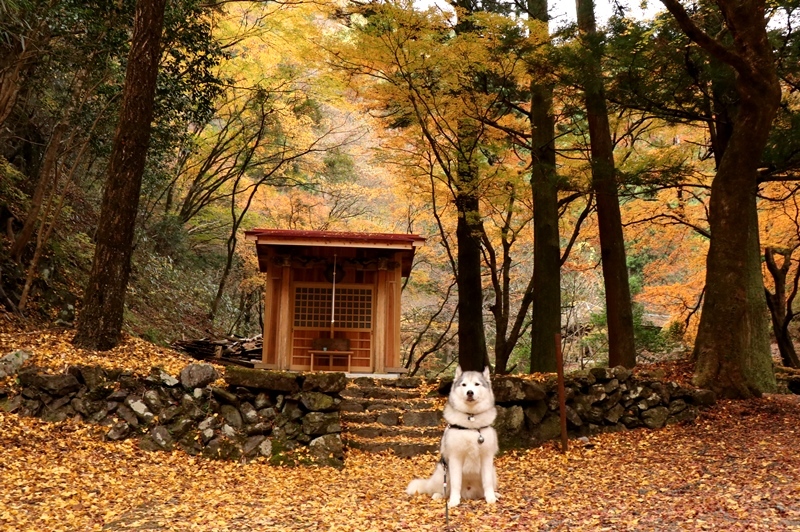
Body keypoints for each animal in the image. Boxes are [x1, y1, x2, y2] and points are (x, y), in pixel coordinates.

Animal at [410, 366, 496, 508]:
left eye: (477, 384)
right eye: (464, 385)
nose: (470, 392)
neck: (470, 421)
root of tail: (468, 493)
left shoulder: (487, 458)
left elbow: (487, 482)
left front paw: (491, 497)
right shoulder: (455, 458)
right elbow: (456, 483)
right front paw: (454, 500)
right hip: (441, 472)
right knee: (443, 489)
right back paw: (439, 496)